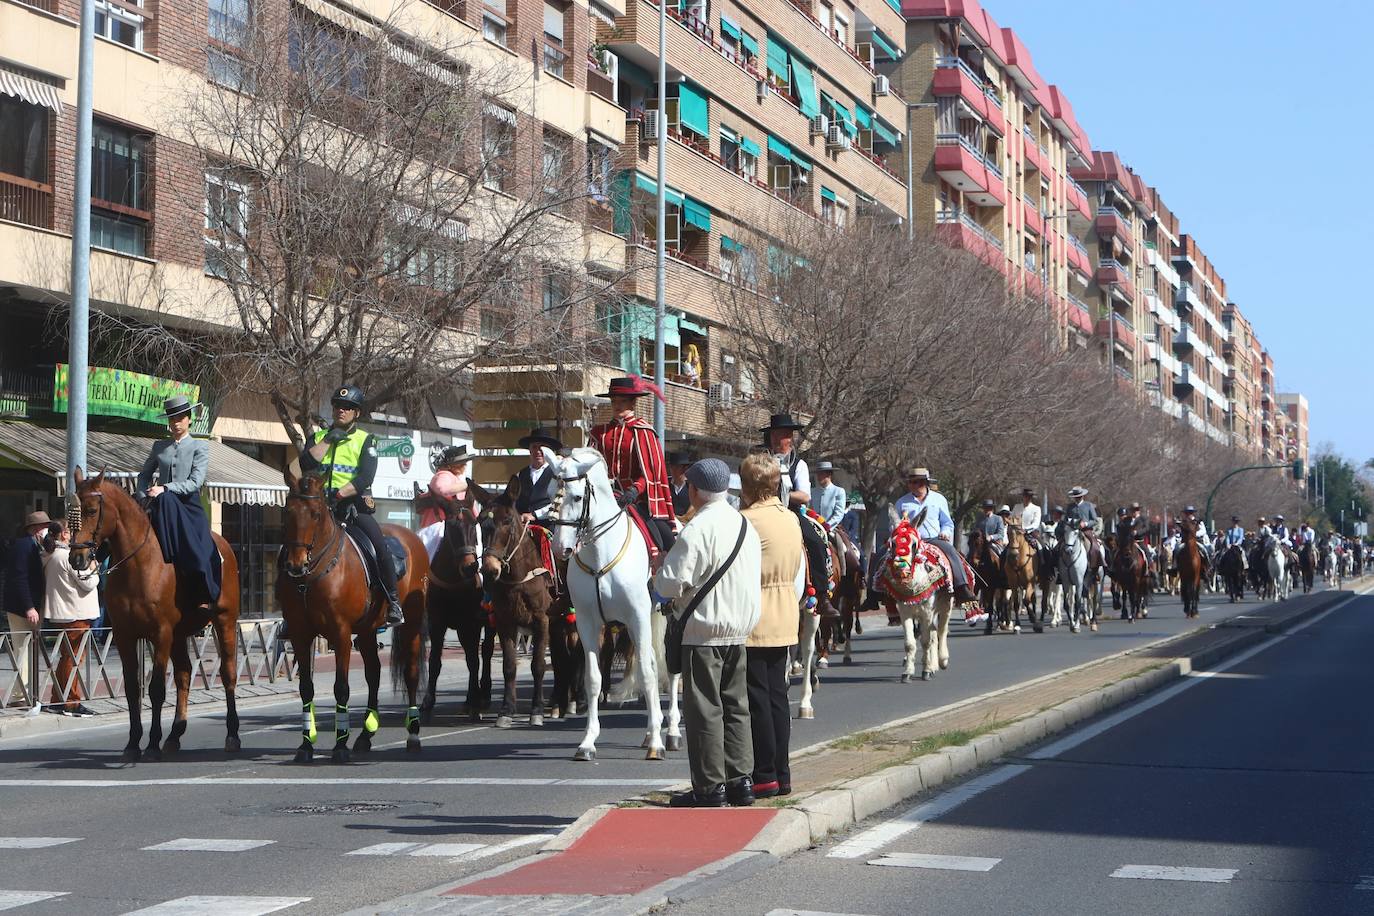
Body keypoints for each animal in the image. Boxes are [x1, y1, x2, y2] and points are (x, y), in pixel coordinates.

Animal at [68, 469, 241, 763]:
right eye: (69, 511)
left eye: (91, 510)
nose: (76, 558)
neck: (138, 565)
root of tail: (224, 545)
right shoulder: (125, 635)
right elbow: (131, 688)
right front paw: (133, 743)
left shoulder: (160, 633)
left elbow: (157, 688)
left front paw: (150, 745)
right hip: (181, 634)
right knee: (184, 674)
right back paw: (175, 735)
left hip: (224, 621)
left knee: (228, 673)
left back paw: (231, 734)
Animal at [276, 469, 425, 763]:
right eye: (287, 511)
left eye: (315, 514)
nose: (295, 565)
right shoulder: (300, 634)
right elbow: (306, 687)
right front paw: (305, 745)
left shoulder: (341, 634)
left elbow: (341, 687)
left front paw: (340, 745)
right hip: (367, 630)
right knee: (373, 674)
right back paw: (366, 735)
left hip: (411, 624)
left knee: (411, 673)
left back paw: (413, 734)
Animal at [423, 494, 500, 725]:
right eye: (452, 526)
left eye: (474, 525)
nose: (470, 567)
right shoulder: (436, 623)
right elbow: (435, 661)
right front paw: (427, 704)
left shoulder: (471, 624)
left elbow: (473, 661)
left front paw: (475, 703)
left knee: (485, 651)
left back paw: (483, 695)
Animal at [478, 486, 552, 730]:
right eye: (481, 522)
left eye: (508, 520)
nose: (489, 570)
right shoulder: (505, 622)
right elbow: (509, 666)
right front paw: (506, 710)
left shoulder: (542, 621)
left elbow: (538, 665)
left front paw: (536, 711)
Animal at [544, 447, 678, 763]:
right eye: (551, 493)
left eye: (576, 497)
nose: (560, 548)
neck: (599, 556)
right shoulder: (588, 623)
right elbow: (593, 679)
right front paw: (587, 742)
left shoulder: (637, 617)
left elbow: (647, 674)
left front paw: (657, 743)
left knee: (671, 670)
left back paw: (671, 731)